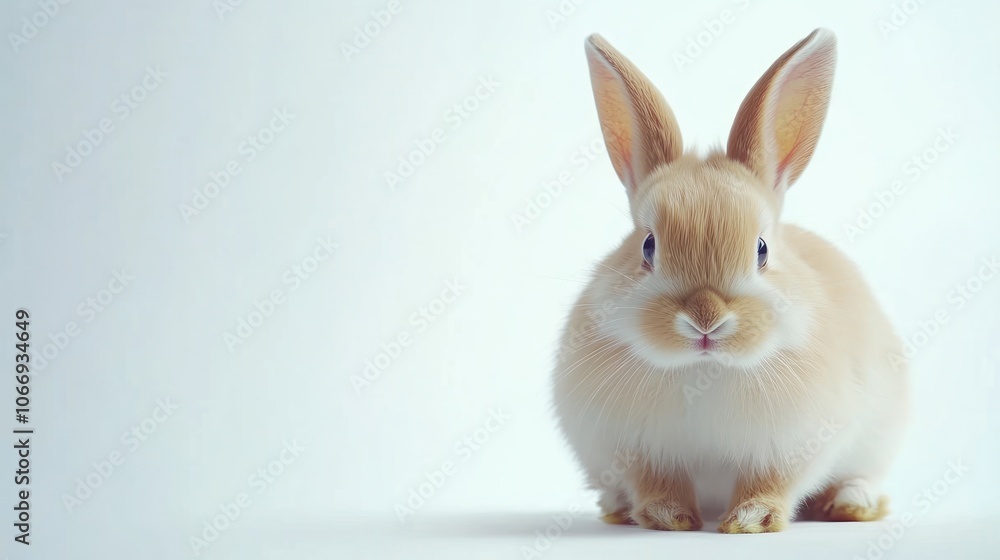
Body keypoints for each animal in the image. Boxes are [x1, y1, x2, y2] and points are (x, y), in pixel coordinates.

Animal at [551, 28, 908, 533]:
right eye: (648, 247)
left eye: (761, 249)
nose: (706, 319)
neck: (704, 370)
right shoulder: (637, 450)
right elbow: (656, 483)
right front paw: (668, 517)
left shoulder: (792, 446)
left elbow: (772, 482)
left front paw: (750, 520)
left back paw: (851, 503)